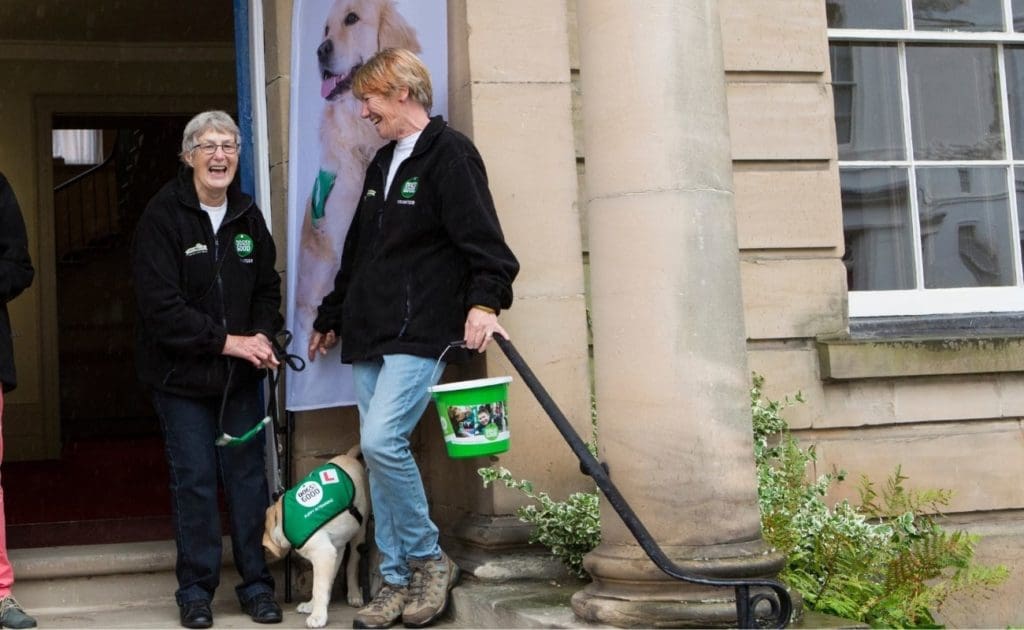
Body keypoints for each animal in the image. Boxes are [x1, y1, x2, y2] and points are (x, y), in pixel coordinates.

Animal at [264, 446, 372, 626]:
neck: (284, 519)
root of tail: (349, 457)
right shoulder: (326, 555)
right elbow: (321, 584)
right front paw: (313, 607)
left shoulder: (323, 553)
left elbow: (318, 587)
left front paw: (318, 617)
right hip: (337, 548)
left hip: (359, 531)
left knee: (351, 565)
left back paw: (354, 594)